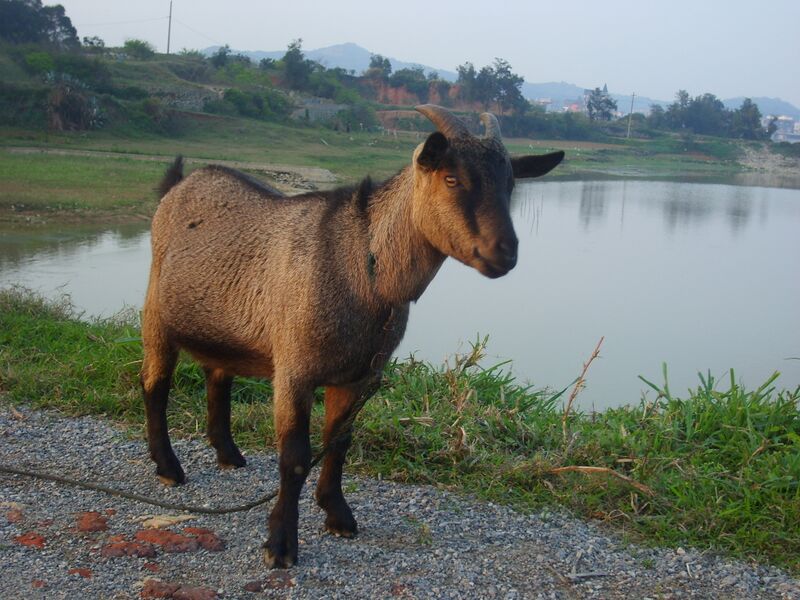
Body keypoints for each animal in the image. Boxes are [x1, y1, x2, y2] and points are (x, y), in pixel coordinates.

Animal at [141, 104, 564, 568]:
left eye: (510, 183)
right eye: (452, 178)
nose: (504, 252)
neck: (362, 263)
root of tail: (178, 183)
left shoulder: (359, 376)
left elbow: (338, 443)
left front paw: (338, 514)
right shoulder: (295, 368)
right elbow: (294, 458)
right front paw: (280, 544)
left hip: (222, 328)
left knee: (218, 376)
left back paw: (229, 455)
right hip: (156, 313)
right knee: (155, 384)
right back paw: (168, 467)